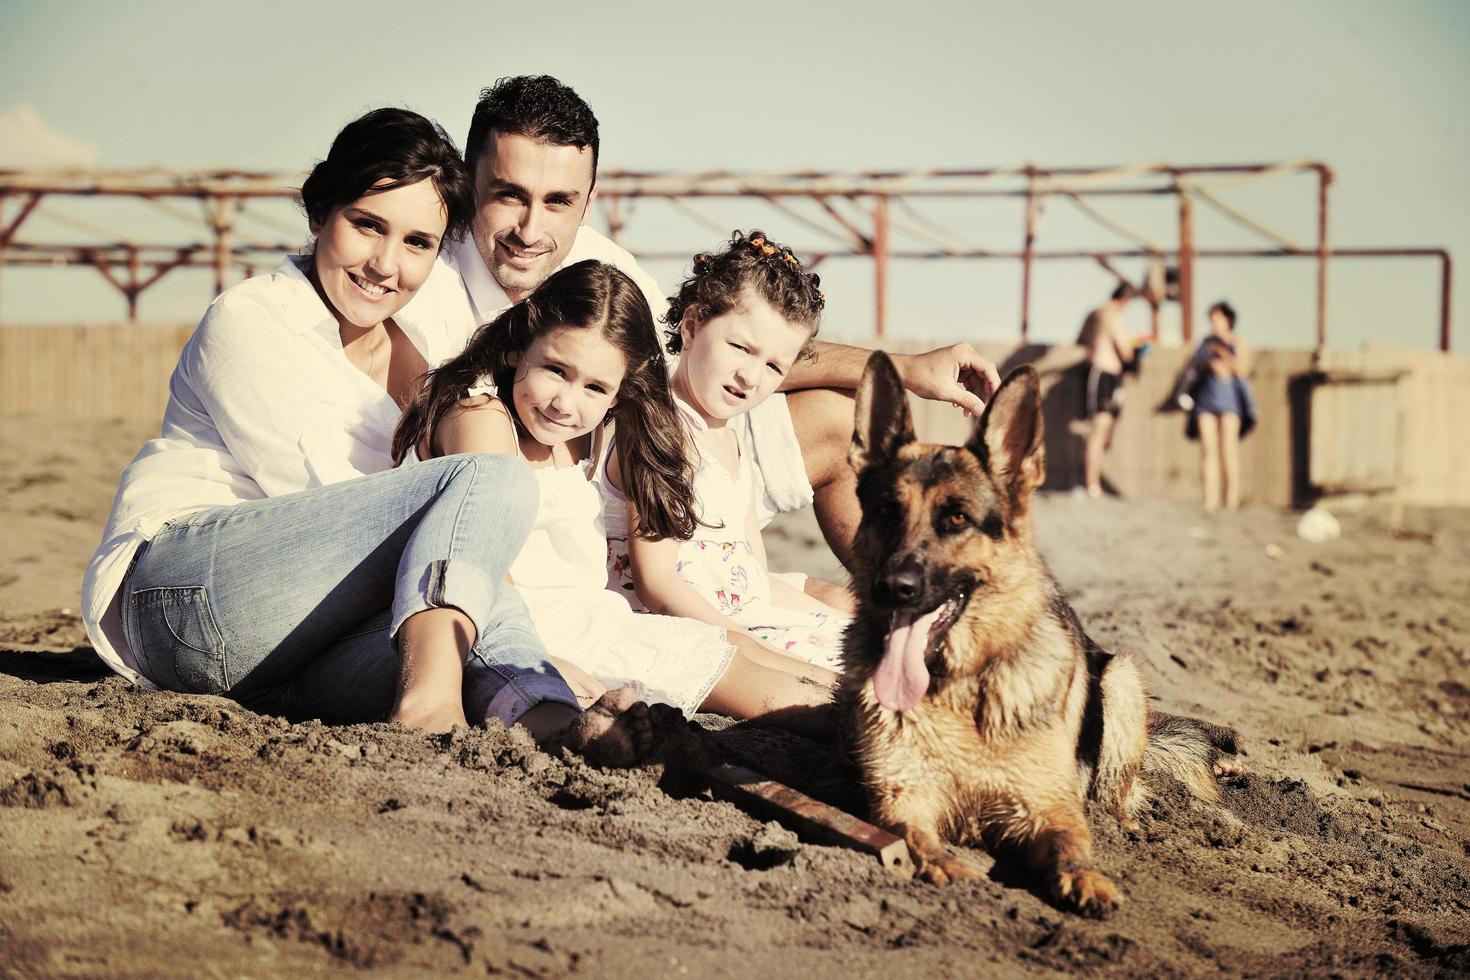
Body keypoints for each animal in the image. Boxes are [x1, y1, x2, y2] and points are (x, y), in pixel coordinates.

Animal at [840, 354, 1240, 922]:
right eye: (886, 513)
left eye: (956, 518)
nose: (894, 587)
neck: (961, 685)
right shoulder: (900, 797)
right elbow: (914, 837)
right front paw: (946, 866)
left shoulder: (1046, 806)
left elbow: (1071, 844)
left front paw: (1087, 879)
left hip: (1120, 679)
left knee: (1117, 796)